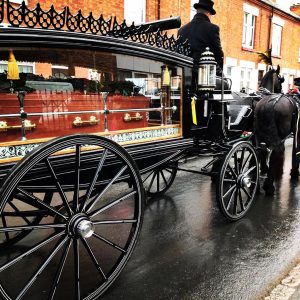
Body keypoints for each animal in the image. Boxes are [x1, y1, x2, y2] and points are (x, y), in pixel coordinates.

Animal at [253, 65, 300, 195]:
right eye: (281, 79)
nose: (282, 90)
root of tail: (268, 104)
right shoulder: (296, 132)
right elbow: (295, 151)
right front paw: (294, 172)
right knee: (274, 152)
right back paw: (269, 186)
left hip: (259, 134)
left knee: (259, 152)